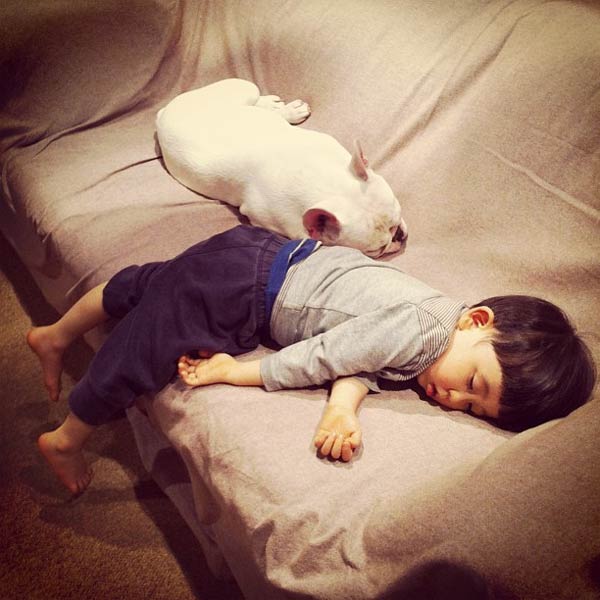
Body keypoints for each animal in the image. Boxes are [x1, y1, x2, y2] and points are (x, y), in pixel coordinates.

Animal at [155, 78, 408, 256]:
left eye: (397, 215)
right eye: (375, 250)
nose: (399, 236)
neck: (319, 181)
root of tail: (162, 113)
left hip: (243, 88)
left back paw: (282, 109)